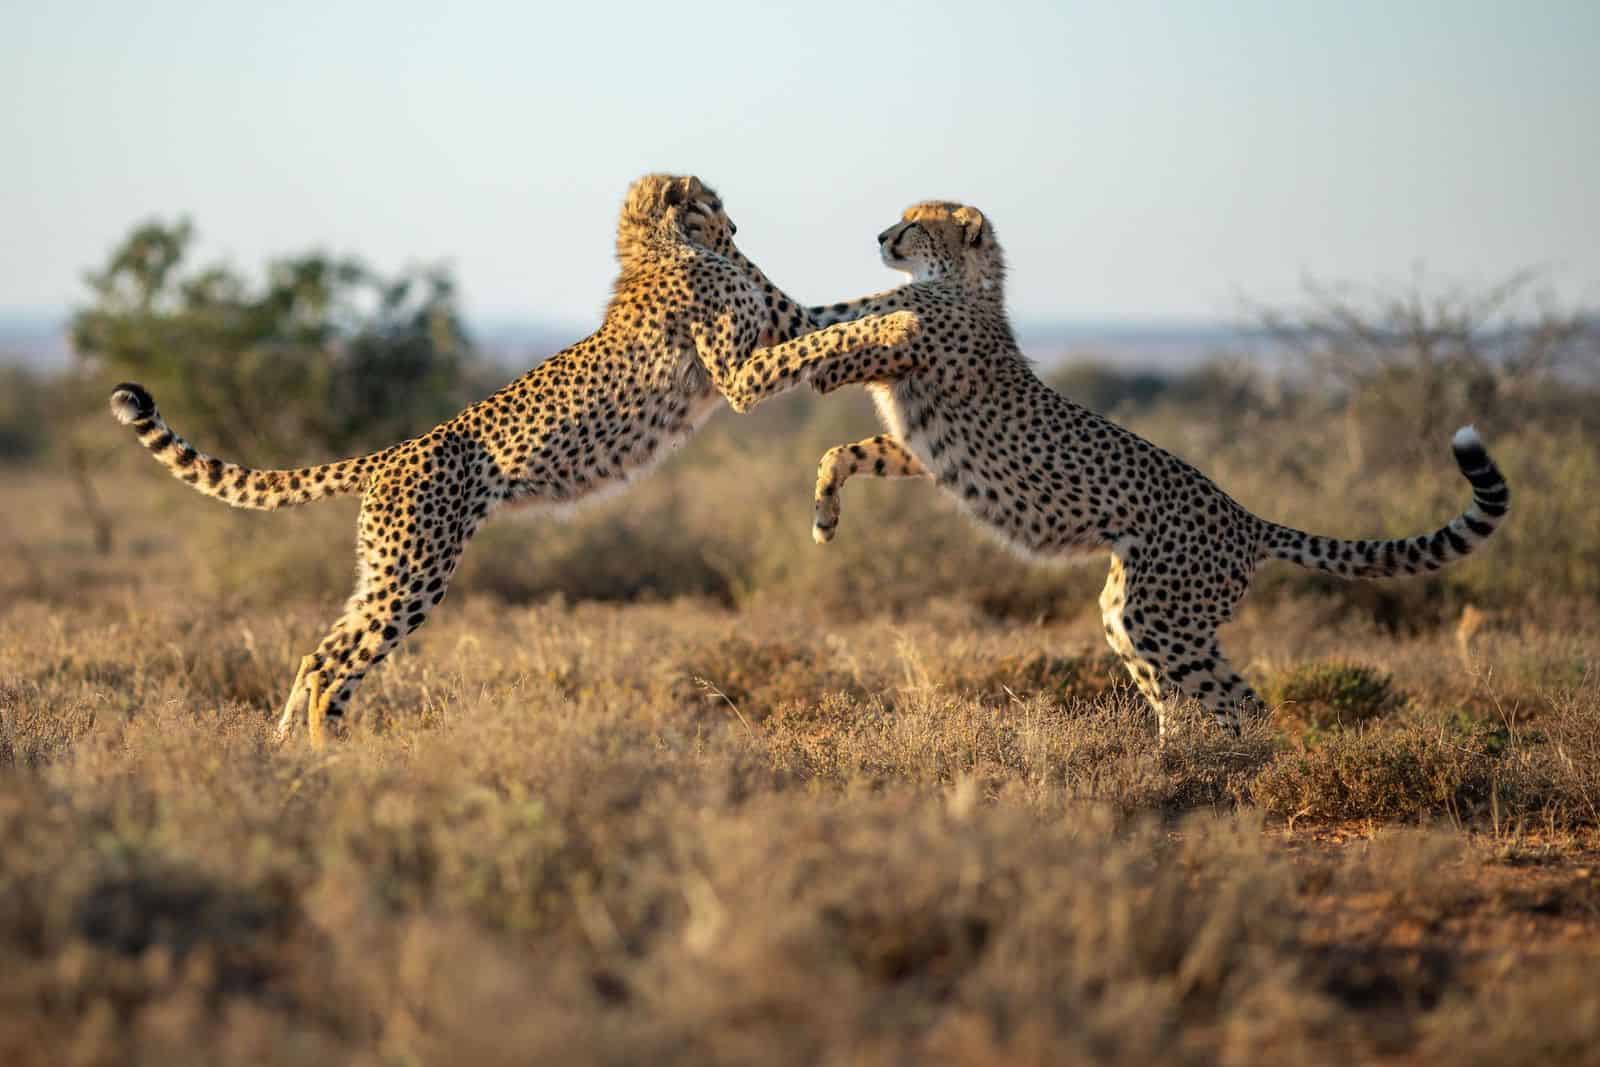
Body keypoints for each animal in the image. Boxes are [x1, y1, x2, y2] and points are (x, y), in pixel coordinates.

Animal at [108, 173, 921, 746]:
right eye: (710, 201)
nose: (735, 222)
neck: (664, 243)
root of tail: (393, 451)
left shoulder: (786, 317)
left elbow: (845, 311)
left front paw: (913, 308)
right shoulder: (741, 374)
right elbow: (830, 333)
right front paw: (904, 321)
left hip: (384, 572)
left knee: (319, 654)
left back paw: (292, 749)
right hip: (415, 574)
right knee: (337, 662)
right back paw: (323, 755)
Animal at [729, 199, 1510, 739]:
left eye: (917, 222)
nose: (882, 236)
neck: (966, 282)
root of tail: (1246, 516)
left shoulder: (905, 345)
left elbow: (836, 330)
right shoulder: (918, 448)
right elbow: (839, 421)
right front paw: (825, 510)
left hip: (1161, 616)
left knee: (1240, 701)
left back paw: (1237, 769)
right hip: (1131, 615)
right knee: (1188, 695)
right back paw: (1182, 760)